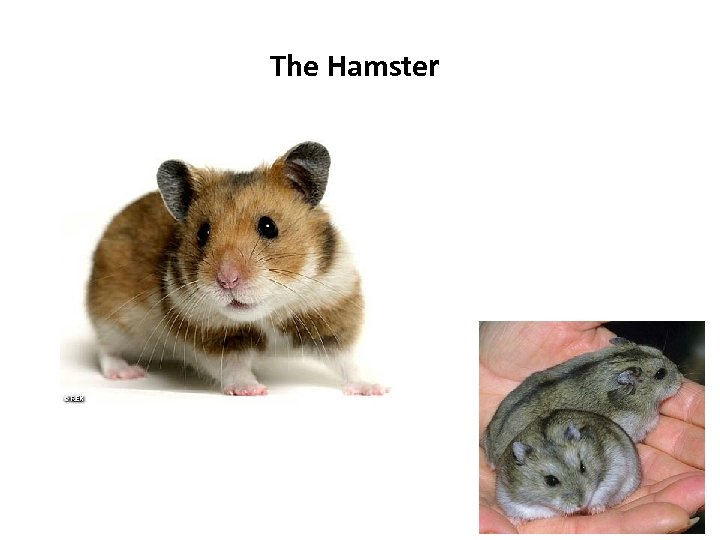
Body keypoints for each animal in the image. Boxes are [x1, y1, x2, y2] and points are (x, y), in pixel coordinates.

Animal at [86, 142, 388, 396]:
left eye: (268, 226)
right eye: (202, 233)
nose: (227, 280)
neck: (267, 316)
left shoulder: (331, 315)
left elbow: (349, 361)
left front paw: (376, 389)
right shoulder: (213, 339)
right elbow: (233, 367)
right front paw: (253, 391)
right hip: (111, 318)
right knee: (105, 349)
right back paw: (126, 373)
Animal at [495, 409, 641, 522]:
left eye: (583, 467)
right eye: (551, 481)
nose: (581, 505)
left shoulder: (615, 472)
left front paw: (596, 510)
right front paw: (514, 521)